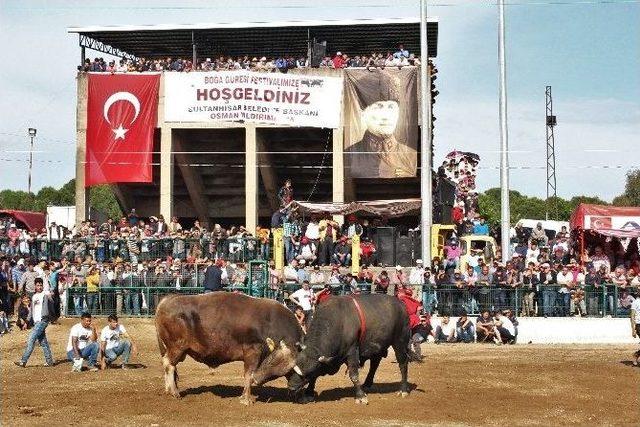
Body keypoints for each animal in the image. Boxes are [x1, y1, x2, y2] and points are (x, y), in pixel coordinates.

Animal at [156, 292, 304, 406]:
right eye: (271, 361)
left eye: (278, 371)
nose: (258, 379)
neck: (268, 322)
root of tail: (168, 299)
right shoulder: (252, 352)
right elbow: (248, 374)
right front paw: (246, 399)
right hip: (177, 348)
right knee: (169, 364)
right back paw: (174, 392)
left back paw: (168, 390)